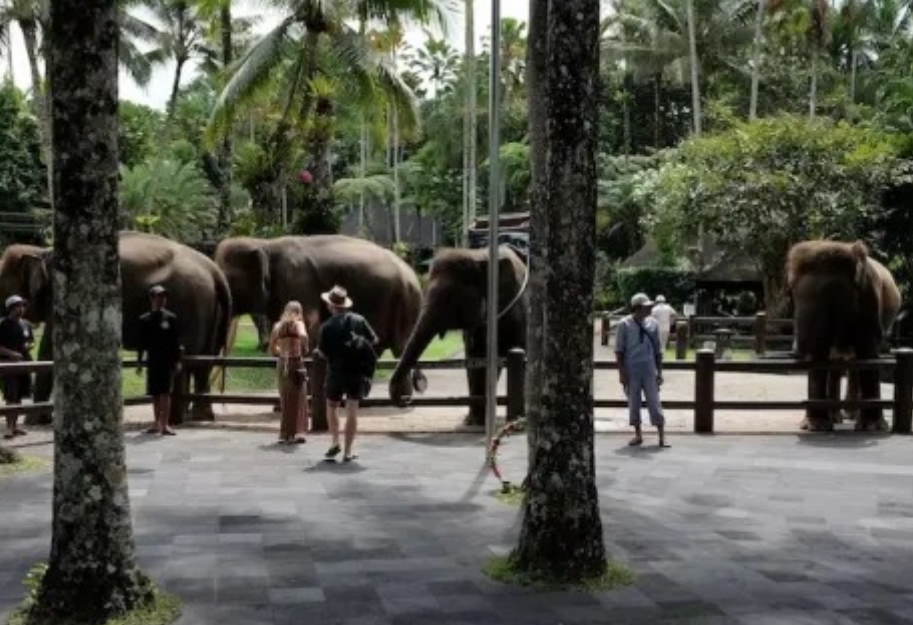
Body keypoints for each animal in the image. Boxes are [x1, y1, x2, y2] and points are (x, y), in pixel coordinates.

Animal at [0, 230, 233, 424]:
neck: (41, 251)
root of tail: (214, 270)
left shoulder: (62, 296)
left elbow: (50, 349)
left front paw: (34, 422)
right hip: (210, 308)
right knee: (203, 361)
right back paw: (200, 416)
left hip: (192, 305)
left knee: (190, 359)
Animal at [214, 232, 424, 398]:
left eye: (227, 280)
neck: (265, 244)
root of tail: (414, 274)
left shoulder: (298, 284)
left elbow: (307, 332)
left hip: (406, 304)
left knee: (402, 349)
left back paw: (401, 399)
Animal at [388, 244, 532, 424]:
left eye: (449, 298)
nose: (405, 399)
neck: (481, 256)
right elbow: (476, 359)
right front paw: (474, 421)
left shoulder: (519, 312)